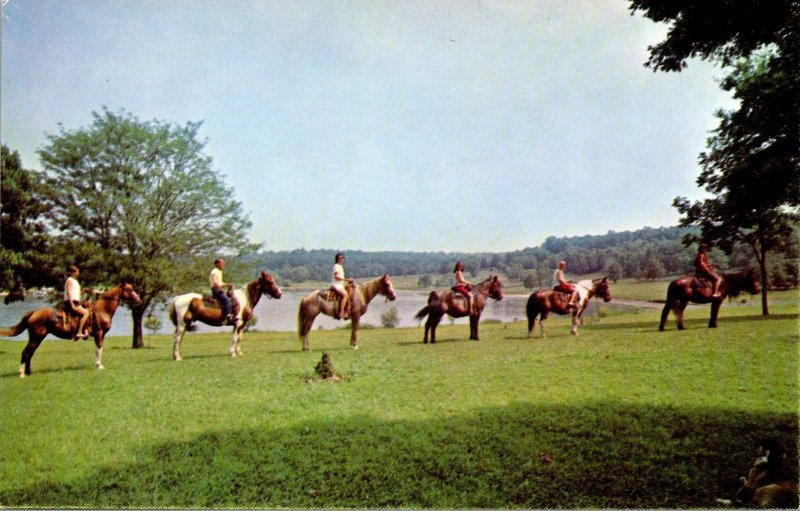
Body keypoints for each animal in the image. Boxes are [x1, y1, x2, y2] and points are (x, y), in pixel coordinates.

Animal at [0, 282, 142, 378]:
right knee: (26, 353)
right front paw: (99, 366)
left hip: (37, 338)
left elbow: (98, 349)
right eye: (130, 289)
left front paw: (98, 364)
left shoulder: (101, 335)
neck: (102, 309)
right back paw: (21, 374)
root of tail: (33, 312)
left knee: (29, 353)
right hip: (36, 338)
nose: (139, 300)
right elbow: (99, 348)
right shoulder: (99, 333)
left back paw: (28, 373)